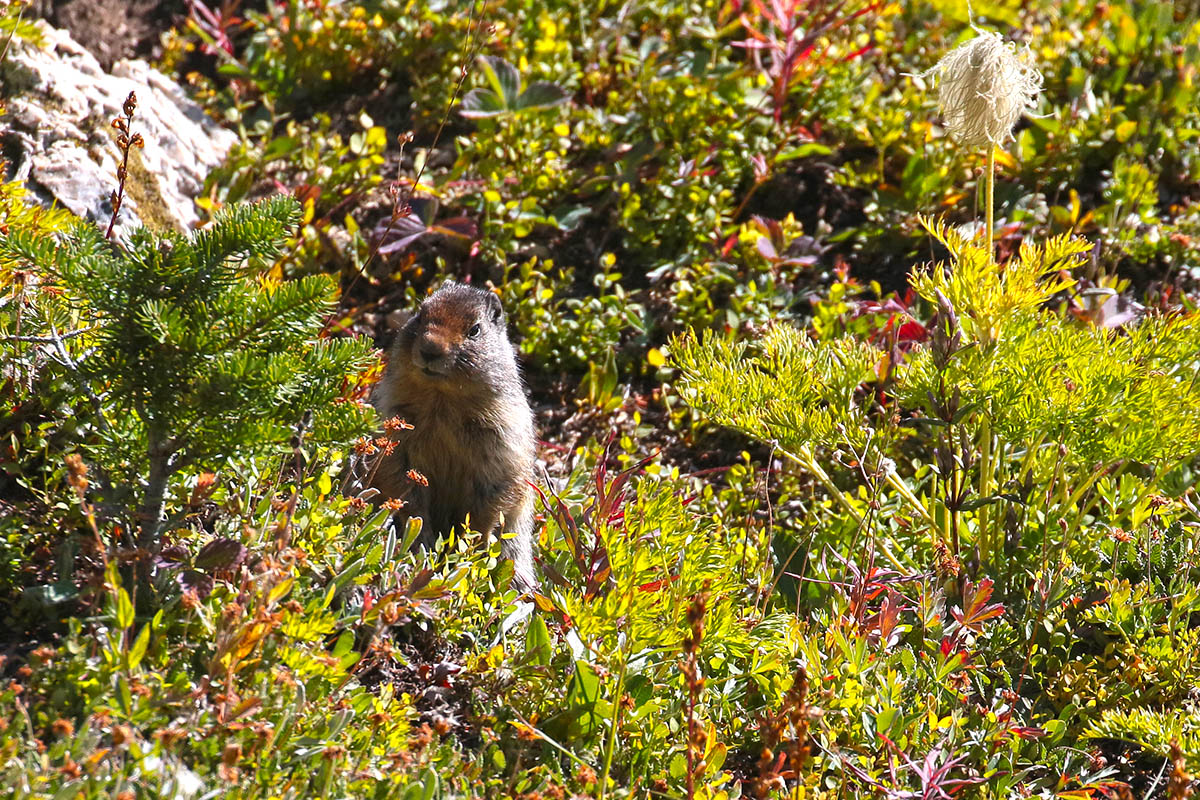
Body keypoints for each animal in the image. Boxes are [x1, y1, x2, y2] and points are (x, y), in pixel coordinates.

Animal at [364, 281, 535, 587]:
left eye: (475, 329)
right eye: (420, 314)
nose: (430, 348)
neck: (442, 399)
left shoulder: (504, 434)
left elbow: (496, 494)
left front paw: (471, 544)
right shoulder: (392, 416)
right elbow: (400, 481)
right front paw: (422, 540)